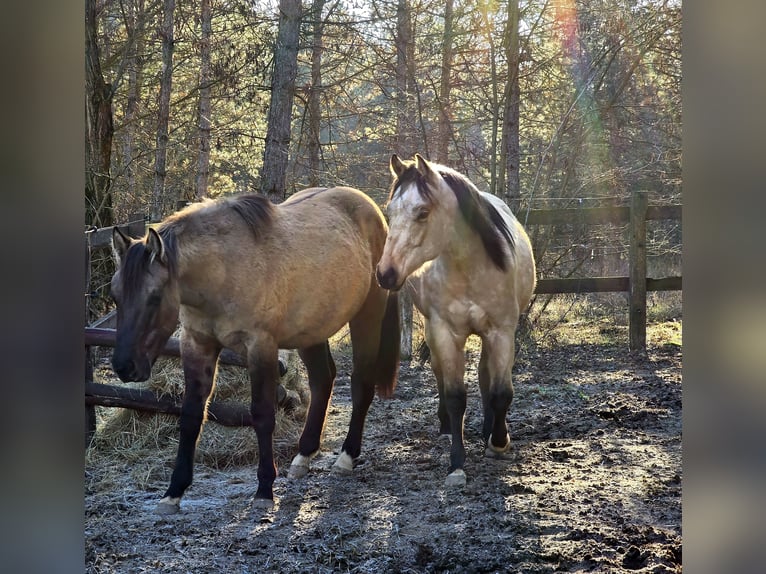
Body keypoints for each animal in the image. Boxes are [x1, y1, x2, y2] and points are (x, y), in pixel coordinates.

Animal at [110, 186, 400, 513]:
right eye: (115, 294)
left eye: (155, 297)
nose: (125, 366)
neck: (224, 269)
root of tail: (371, 210)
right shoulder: (197, 343)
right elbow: (191, 415)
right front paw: (173, 492)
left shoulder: (260, 347)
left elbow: (262, 415)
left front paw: (264, 490)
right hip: (311, 331)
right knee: (322, 380)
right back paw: (303, 456)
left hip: (367, 316)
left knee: (361, 383)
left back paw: (346, 457)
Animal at [376, 154, 536, 487]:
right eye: (389, 212)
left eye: (423, 212)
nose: (386, 273)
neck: (470, 268)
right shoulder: (445, 333)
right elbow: (455, 396)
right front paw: (457, 462)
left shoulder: (502, 332)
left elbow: (501, 391)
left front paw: (499, 442)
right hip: (433, 330)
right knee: (440, 374)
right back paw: (447, 426)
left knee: (485, 376)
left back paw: (488, 430)